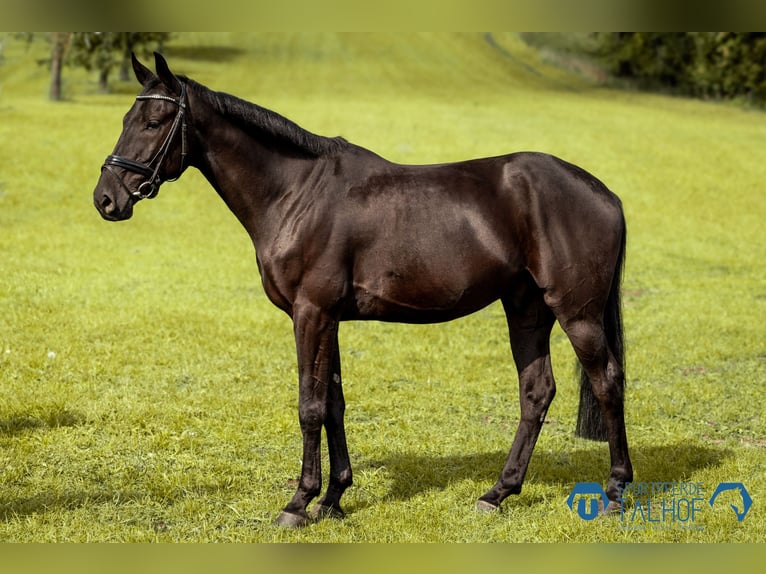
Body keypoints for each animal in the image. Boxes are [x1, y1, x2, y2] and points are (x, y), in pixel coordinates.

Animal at [93, 53, 632, 527]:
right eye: (125, 117)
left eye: (155, 120)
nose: (106, 199)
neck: (297, 193)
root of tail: (606, 193)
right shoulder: (326, 317)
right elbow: (333, 404)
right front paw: (333, 498)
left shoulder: (311, 313)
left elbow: (309, 406)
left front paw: (298, 503)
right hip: (526, 308)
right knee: (536, 391)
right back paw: (497, 493)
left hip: (577, 314)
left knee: (607, 382)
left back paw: (615, 492)